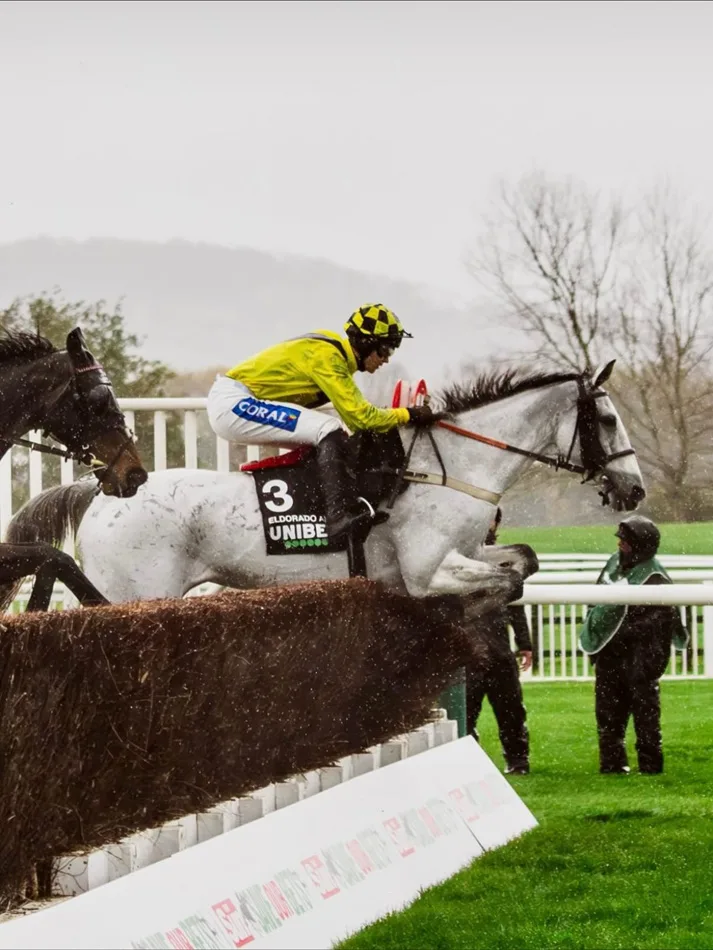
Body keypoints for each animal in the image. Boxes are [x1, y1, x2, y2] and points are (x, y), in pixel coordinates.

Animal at [1, 359, 644, 610]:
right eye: (609, 420)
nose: (635, 490)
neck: (451, 467)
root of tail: (99, 491)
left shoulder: (465, 550)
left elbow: (525, 559)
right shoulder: (427, 570)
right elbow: (505, 581)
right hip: (136, 591)